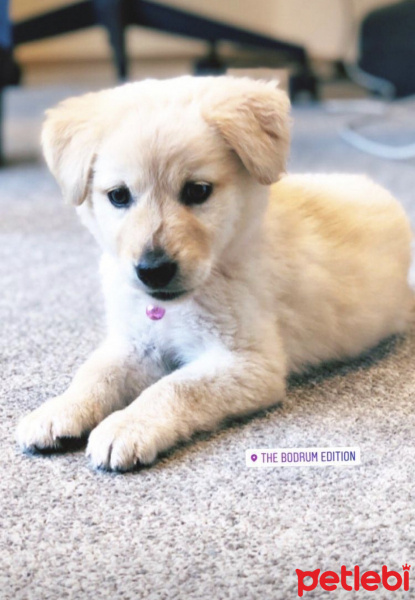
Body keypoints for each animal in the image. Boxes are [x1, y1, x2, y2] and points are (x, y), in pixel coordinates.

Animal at [15, 76, 412, 468]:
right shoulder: (137, 341)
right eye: (118, 196)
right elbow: (95, 372)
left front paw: (127, 425)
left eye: (197, 191)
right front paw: (60, 409)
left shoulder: (249, 362)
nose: (153, 270)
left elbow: (175, 387)